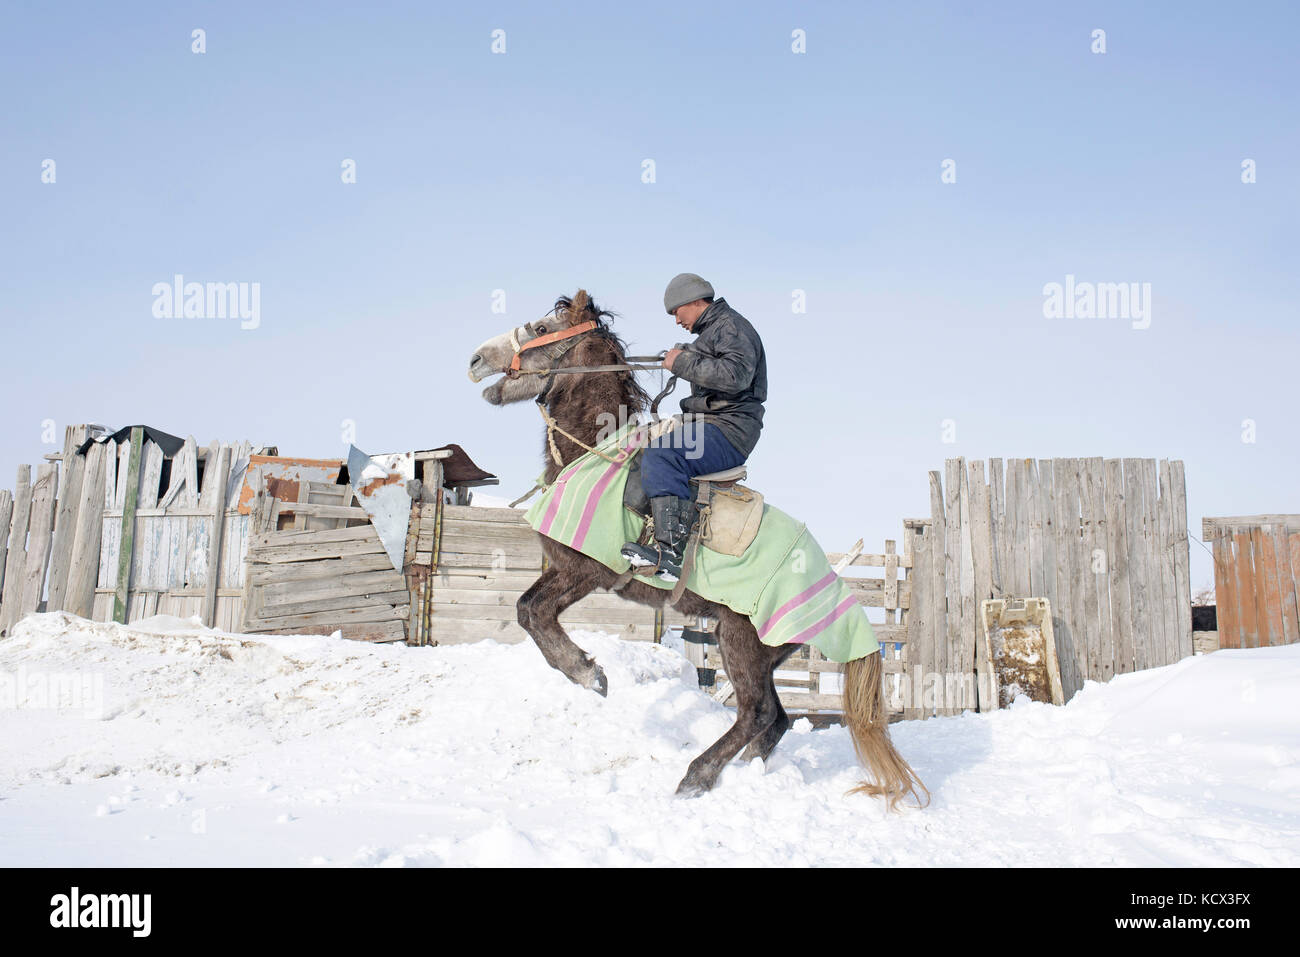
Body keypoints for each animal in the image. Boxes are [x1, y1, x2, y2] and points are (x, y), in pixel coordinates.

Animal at [468, 290, 928, 808]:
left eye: (543, 327)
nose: (476, 360)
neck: (595, 450)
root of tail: (838, 593)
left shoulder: (586, 570)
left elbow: (531, 612)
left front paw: (589, 674)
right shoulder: (568, 569)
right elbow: (529, 611)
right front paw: (587, 672)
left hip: (740, 641)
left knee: (756, 714)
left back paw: (697, 776)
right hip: (759, 651)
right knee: (774, 718)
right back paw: (746, 772)